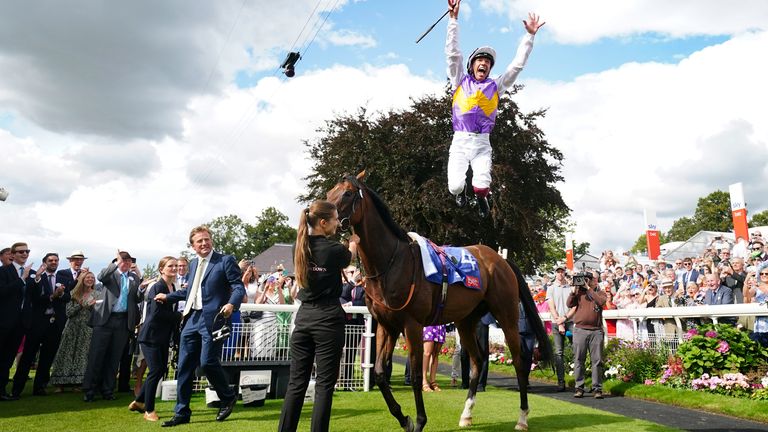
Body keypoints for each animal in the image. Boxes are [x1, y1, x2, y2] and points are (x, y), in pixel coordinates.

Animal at [326, 173, 552, 432]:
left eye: (347, 193)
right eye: (329, 192)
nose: (323, 215)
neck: (391, 262)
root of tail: (500, 260)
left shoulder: (412, 325)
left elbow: (416, 375)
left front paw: (419, 421)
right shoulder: (386, 325)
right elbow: (381, 373)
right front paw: (403, 418)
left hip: (507, 316)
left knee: (519, 361)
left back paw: (522, 418)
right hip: (466, 321)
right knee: (477, 361)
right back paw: (466, 414)